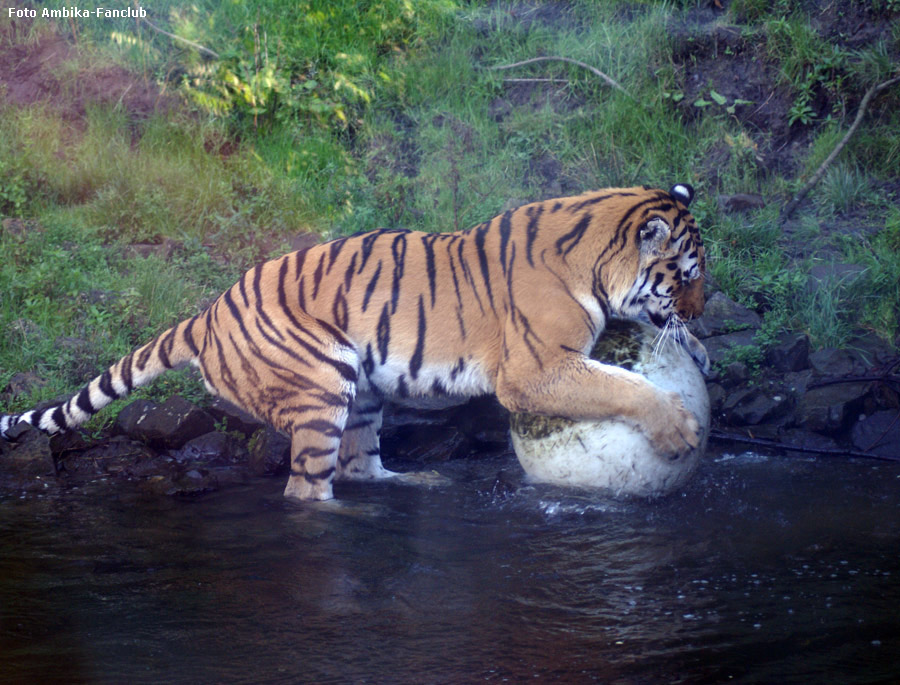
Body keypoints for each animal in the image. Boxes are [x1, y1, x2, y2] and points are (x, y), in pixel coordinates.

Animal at [0, 184, 708, 500]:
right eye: (690, 276)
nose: (703, 307)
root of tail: (207, 312)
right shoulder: (536, 370)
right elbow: (622, 386)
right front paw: (678, 429)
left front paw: (697, 351)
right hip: (322, 383)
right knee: (309, 490)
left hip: (364, 388)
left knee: (360, 464)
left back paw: (420, 483)